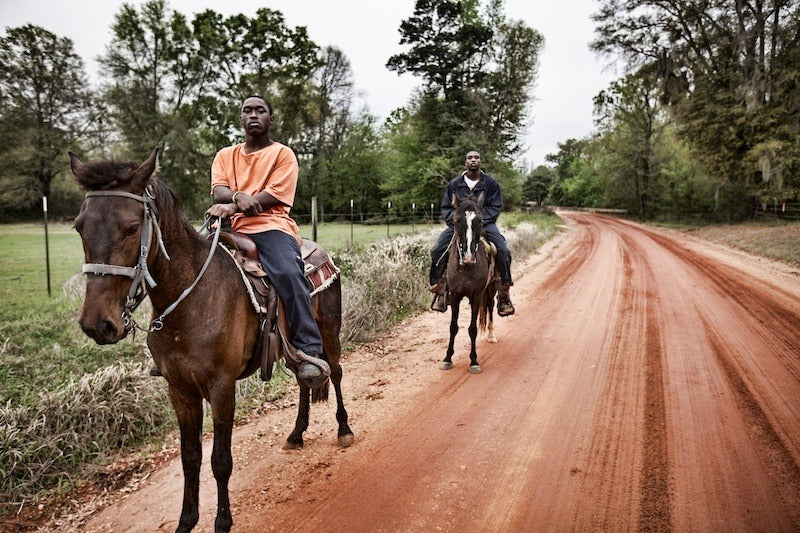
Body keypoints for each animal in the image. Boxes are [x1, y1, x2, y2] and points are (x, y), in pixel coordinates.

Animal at [69, 148, 354, 528]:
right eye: (79, 226)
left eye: (131, 227)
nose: (97, 324)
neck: (192, 297)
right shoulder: (180, 390)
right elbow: (190, 458)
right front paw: (186, 520)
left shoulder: (221, 387)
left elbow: (220, 460)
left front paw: (222, 521)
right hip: (294, 349)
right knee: (304, 379)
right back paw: (297, 434)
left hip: (329, 331)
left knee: (334, 372)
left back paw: (344, 429)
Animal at [440, 193, 496, 372]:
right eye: (456, 220)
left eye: (481, 220)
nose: (469, 257)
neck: (466, 267)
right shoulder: (454, 295)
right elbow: (453, 327)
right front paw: (447, 358)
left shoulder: (477, 295)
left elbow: (472, 329)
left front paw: (474, 361)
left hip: (491, 288)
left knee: (491, 306)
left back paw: (492, 334)